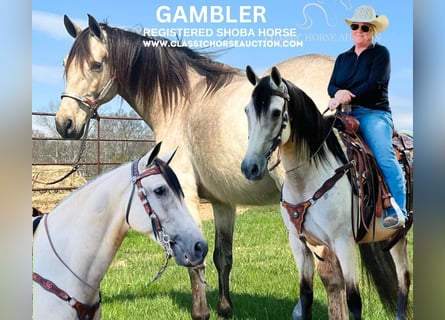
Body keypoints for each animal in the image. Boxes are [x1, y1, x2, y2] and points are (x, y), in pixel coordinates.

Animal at [54, 14, 336, 318]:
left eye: (96, 64)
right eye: (65, 65)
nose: (64, 124)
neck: (183, 102)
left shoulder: (185, 194)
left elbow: (195, 258)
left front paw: (201, 313)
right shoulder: (224, 202)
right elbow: (223, 257)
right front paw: (225, 308)